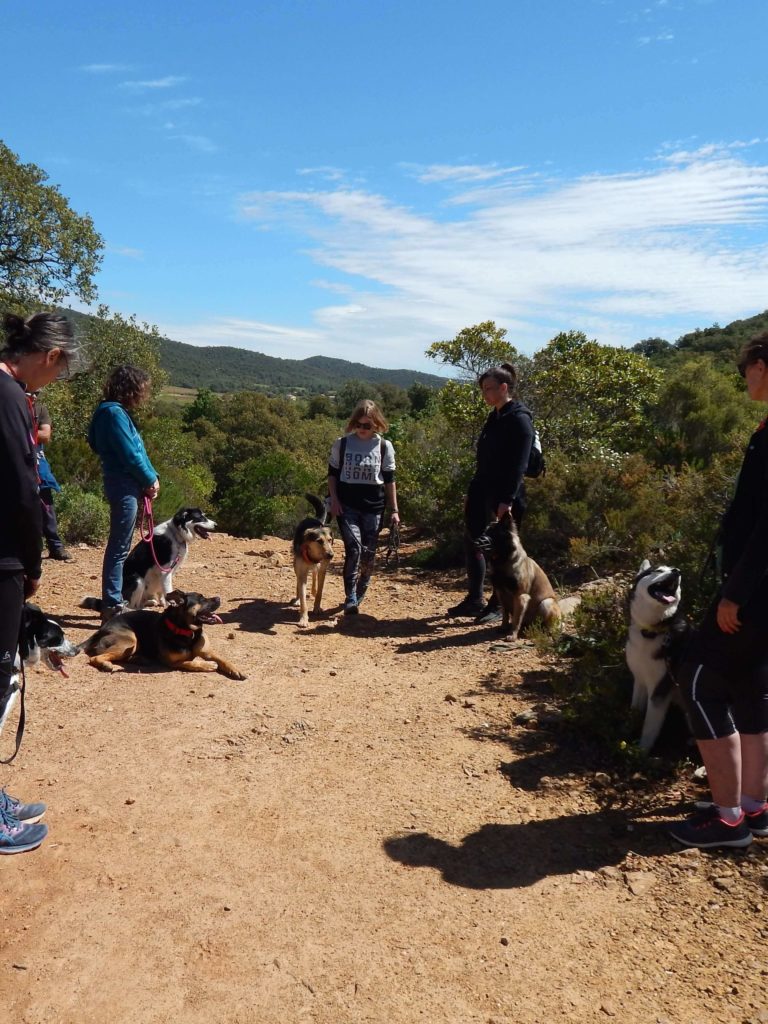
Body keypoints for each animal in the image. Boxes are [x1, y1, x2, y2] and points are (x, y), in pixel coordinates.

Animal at [78, 593, 246, 679]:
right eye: (201, 599)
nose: (218, 598)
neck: (187, 632)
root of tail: (102, 629)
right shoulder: (171, 662)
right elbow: (190, 662)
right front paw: (207, 665)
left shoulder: (208, 652)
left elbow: (223, 659)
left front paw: (236, 669)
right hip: (131, 640)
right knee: (95, 658)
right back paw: (107, 664)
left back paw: (139, 659)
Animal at [290, 493, 333, 626]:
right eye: (319, 541)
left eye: (330, 540)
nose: (331, 555)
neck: (314, 556)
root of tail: (314, 519)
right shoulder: (302, 573)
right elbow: (303, 598)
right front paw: (303, 618)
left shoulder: (323, 570)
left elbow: (320, 592)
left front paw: (317, 607)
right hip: (296, 566)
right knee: (298, 582)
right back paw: (297, 599)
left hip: (318, 568)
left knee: (314, 573)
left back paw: (313, 589)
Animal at [626, 561, 692, 753]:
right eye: (658, 570)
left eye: (674, 570)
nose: (677, 571)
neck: (652, 631)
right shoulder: (639, 679)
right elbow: (635, 710)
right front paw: (628, 728)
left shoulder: (660, 690)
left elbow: (649, 728)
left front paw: (639, 753)